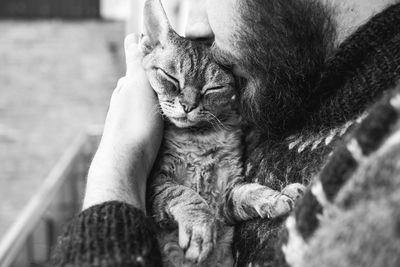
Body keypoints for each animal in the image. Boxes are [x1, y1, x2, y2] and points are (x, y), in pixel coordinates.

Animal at [139, 0, 304, 266]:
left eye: (212, 89)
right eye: (170, 77)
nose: (188, 106)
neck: (199, 137)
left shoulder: (227, 194)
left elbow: (249, 190)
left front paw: (274, 197)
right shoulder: (156, 184)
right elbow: (185, 194)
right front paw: (200, 229)